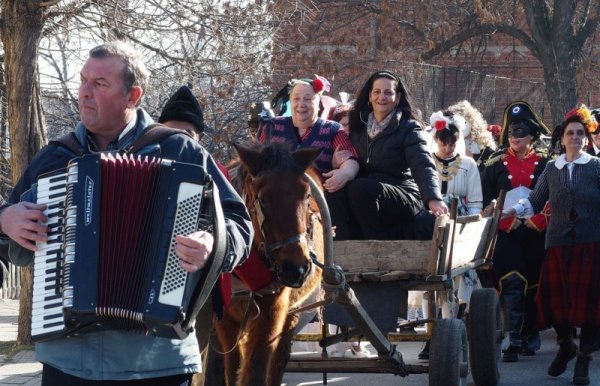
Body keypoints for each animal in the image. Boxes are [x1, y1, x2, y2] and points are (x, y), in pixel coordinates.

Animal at [214, 142, 326, 386]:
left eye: (307, 195)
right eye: (263, 199)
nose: (296, 269)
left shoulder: (273, 312)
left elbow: (256, 372)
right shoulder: (225, 319)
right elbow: (233, 368)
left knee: (278, 361)